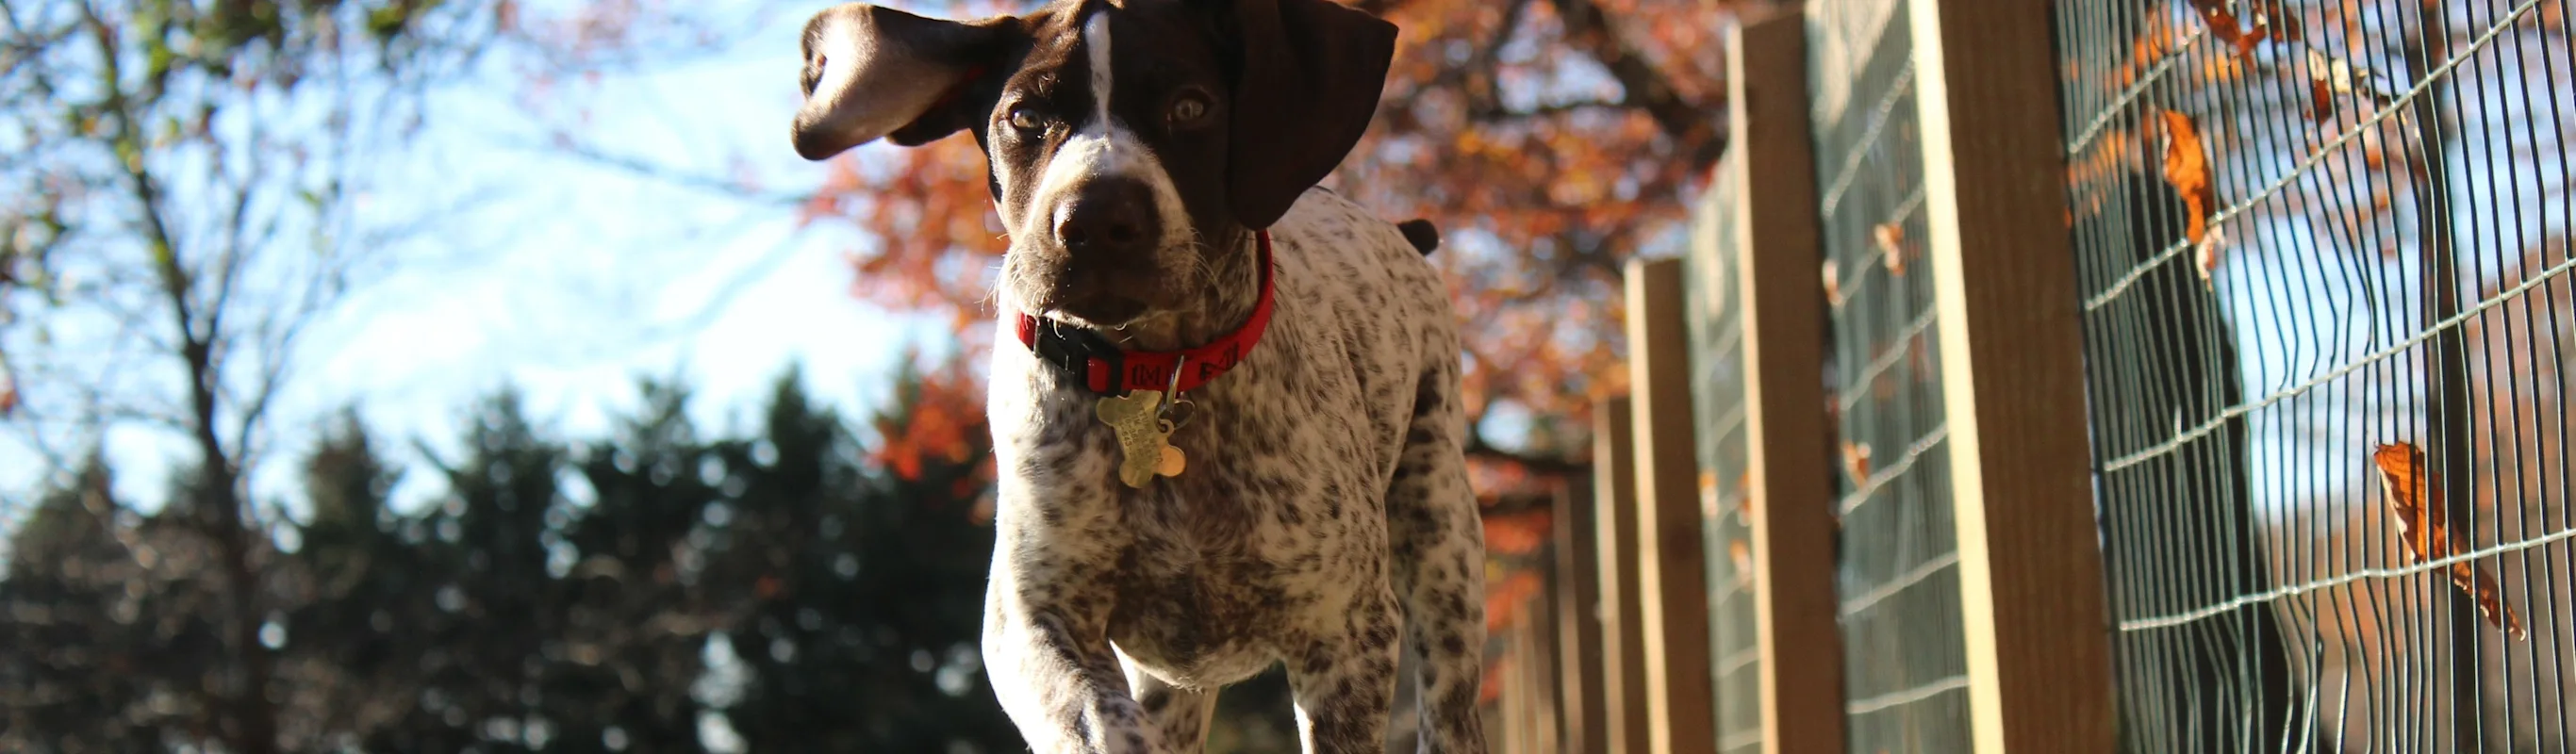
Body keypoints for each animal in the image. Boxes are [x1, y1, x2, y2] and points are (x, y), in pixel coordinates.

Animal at [787, 0, 1494, 746]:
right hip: (1171, 684)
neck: (1156, 375)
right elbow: (1106, 723)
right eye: (1025, 117)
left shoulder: (1346, 633)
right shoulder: (1035, 620)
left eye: (1190, 106)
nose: (1094, 218)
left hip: (1442, 549)